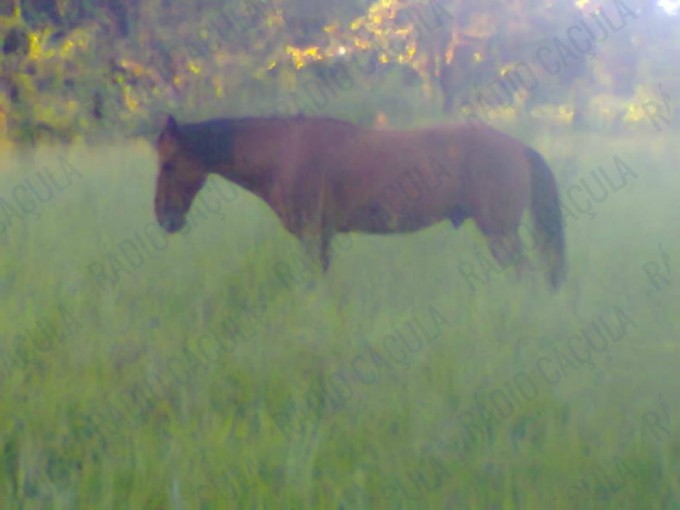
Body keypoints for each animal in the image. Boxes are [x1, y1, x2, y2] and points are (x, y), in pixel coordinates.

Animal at [153, 114, 566, 290]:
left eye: (169, 164)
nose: (163, 218)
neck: (283, 152)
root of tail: (518, 147)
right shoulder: (322, 238)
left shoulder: (311, 235)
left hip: (500, 233)